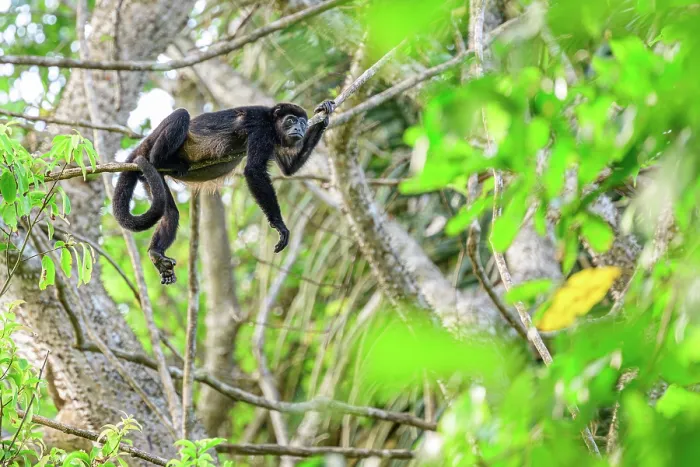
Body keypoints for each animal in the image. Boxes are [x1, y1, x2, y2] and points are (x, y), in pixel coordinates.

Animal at [112, 100, 336, 285]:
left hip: (150, 179)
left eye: (303, 122)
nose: (299, 128)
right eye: (291, 120)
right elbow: (254, 171)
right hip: (151, 149)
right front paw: (280, 226)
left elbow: (288, 169)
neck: (273, 123)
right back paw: (164, 160)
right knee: (181, 115)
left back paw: (157, 254)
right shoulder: (262, 128)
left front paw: (324, 115)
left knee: (171, 213)